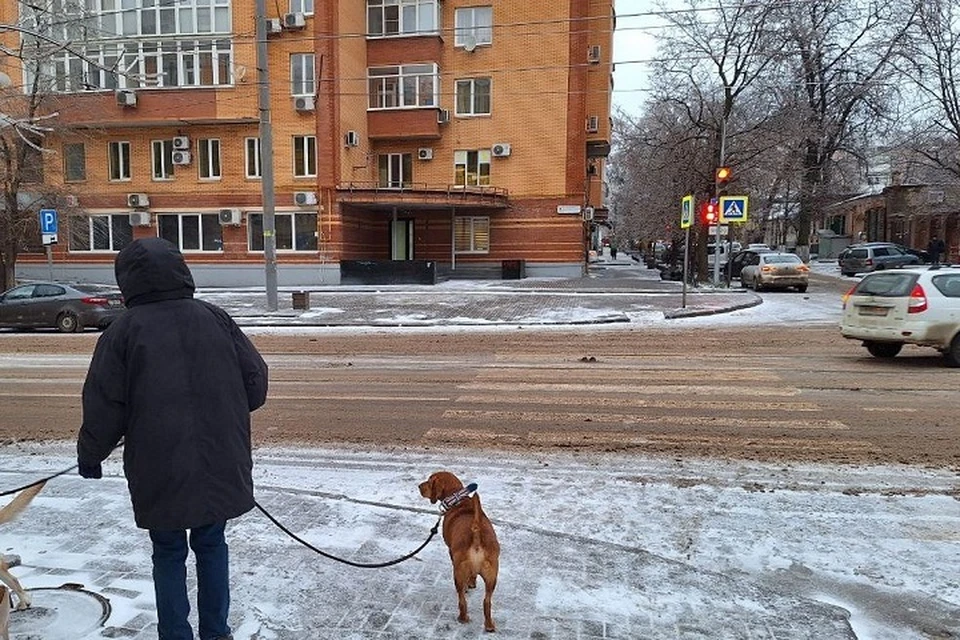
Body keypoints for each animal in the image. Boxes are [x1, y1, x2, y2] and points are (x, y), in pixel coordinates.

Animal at [420, 472, 502, 632]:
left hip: (458, 572)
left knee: (462, 600)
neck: (458, 499)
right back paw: (489, 625)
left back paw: (462, 618)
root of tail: (476, 533)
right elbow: (473, 577)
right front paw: (472, 583)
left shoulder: (451, 553)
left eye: (429, 481)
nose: (419, 486)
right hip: (492, 577)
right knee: (487, 601)